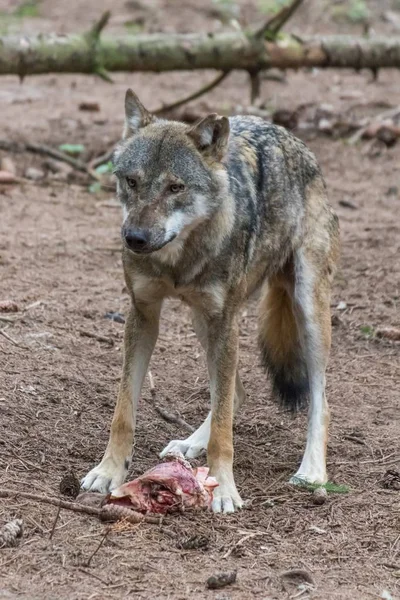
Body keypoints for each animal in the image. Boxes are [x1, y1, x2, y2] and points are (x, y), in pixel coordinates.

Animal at [80, 91, 338, 512]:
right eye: (131, 181)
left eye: (175, 187)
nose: (134, 238)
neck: (178, 260)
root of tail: (289, 134)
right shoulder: (142, 315)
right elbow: (123, 413)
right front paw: (108, 471)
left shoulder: (224, 321)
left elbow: (223, 432)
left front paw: (225, 488)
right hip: (205, 322)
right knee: (234, 394)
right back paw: (189, 443)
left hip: (305, 309)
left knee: (319, 399)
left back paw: (312, 471)